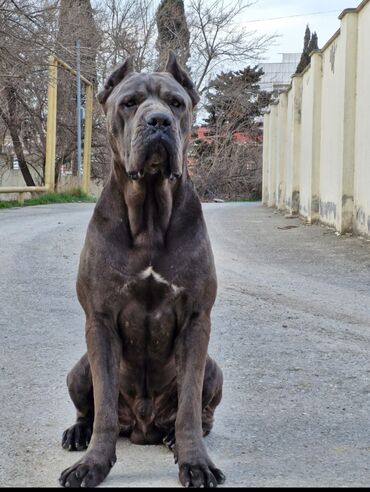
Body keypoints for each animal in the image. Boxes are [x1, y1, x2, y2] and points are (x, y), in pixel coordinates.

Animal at [59, 51, 224, 488]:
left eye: (177, 103)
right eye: (129, 103)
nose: (159, 122)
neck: (149, 212)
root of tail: (141, 427)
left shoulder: (196, 320)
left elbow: (188, 406)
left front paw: (195, 461)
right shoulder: (99, 320)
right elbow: (103, 407)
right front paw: (93, 464)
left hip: (213, 369)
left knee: (202, 413)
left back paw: (170, 437)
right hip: (78, 368)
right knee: (90, 409)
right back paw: (77, 432)